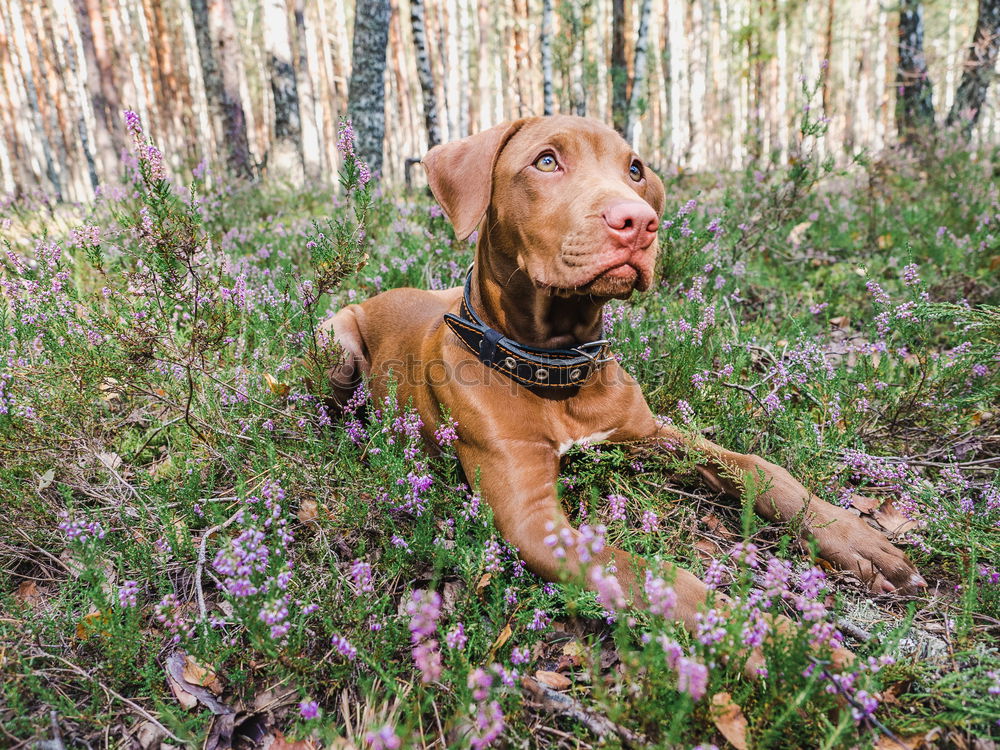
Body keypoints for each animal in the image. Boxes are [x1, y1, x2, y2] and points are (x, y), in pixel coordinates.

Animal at [324, 114, 924, 632]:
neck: (557, 364)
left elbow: (760, 468)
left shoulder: (649, 431)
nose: (638, 222)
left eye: (635, 169)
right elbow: (659, 576)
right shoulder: (532, 521)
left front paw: (850, 536)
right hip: (337, 346)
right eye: (546, 161)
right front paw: (756, 636)